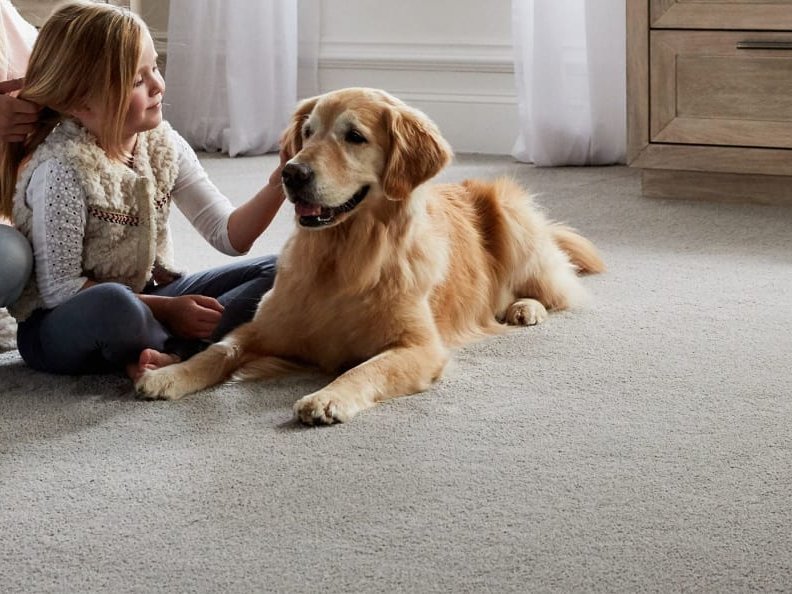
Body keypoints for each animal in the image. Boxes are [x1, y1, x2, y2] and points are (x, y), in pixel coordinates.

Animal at [138, 86, 608, 420]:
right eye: (307, 133)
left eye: (354, 137)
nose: (291, 173)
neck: (342, 253)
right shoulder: (262, 328)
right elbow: (217, 351)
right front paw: (168, 374)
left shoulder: (420, 347)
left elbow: (366, 368)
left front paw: (326, 398)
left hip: (511, 215)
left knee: (557, 290)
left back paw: (525, 308)